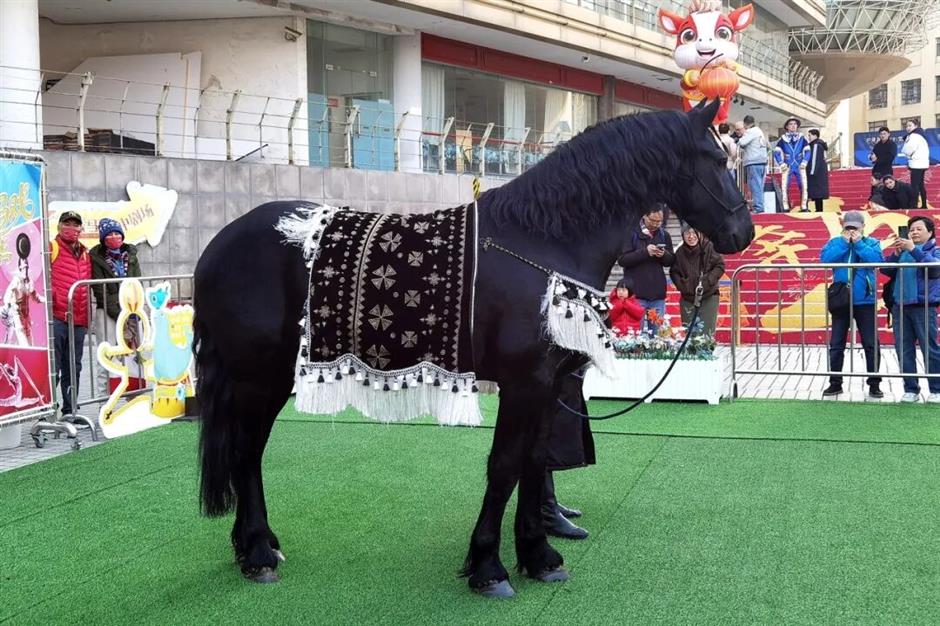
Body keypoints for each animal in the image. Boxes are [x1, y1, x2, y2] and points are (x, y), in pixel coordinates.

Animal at [193, 98, 754, 596]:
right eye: (718, 159)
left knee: (247, 453)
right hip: (256, 375)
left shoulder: (547, 386)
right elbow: (504, 466)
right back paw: (258, 554)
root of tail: (219, 245)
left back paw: (256, 546)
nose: (742, 232)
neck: (542, 241)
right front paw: (488, 567)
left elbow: (534, 463)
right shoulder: (523, 383)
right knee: (245, 453)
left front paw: (538, 556)